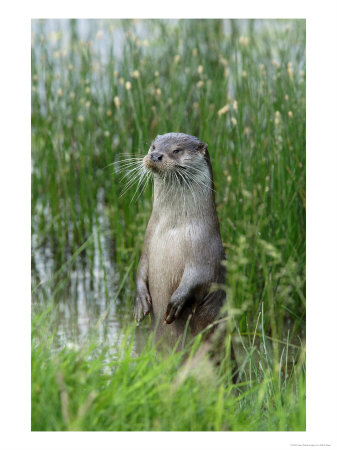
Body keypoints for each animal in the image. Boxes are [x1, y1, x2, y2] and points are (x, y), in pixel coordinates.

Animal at [133, 132, 224, 346]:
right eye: (153, 146)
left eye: (176, 150)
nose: (155, 155)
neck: (172, 230)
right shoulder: (147, 243)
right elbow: (140, 268)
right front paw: (140, 301)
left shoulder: (205, 249)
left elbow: (200, 277)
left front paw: (177, 302)